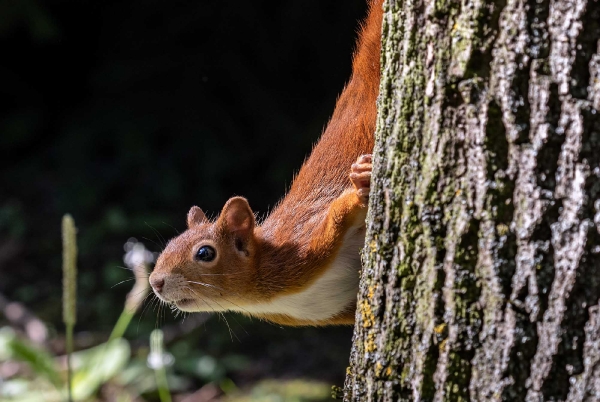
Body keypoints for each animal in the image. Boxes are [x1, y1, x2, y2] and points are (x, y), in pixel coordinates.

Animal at [151, 0, 384, 326]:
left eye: (205, 253)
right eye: (169, 244)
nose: (155, 282)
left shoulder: (305, 246)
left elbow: (339, 210)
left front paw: (362, 182)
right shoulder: (333, 311)